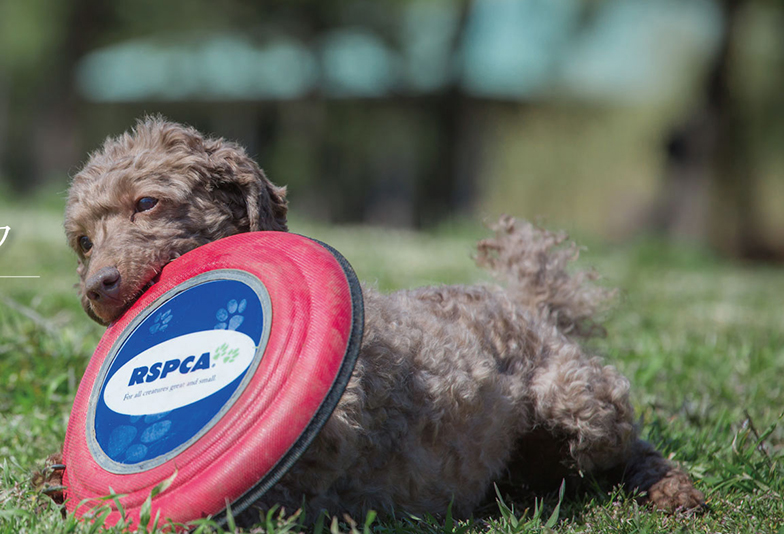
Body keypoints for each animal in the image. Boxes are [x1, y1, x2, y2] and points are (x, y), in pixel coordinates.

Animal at [58, 116, 704, 524]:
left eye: (147, 203)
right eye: (84, 242)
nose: (97, 288)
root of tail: (528, 305)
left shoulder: (330, 433)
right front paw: (54, 477)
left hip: (576, 398)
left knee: (629, 443)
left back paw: (670, 488)